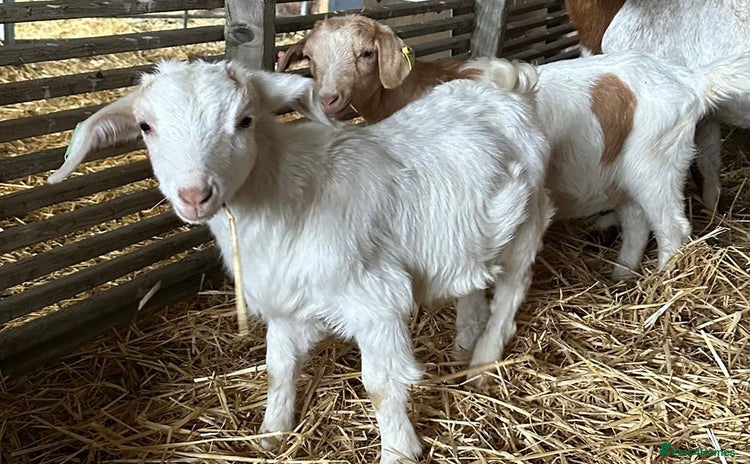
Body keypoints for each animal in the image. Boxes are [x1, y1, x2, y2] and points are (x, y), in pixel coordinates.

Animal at [48, 60, 552, 464]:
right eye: (146, 126)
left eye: (244, 120)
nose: (194, 194)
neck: (286, 193)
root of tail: (508, 87)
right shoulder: (286, 303)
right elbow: (279, 368)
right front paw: (271, 433)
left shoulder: (376, 300)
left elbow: (380, 384)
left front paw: (398, 451)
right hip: (472, 235)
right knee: (473, 282)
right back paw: (465, 342)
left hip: (527, 222)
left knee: (511, 290)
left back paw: (484, 362)